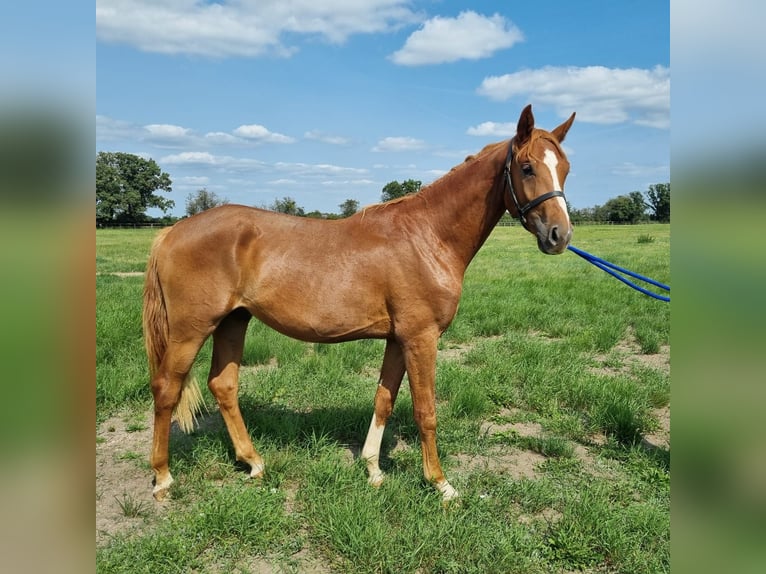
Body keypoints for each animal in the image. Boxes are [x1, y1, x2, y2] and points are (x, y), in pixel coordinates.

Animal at [144, 106, 576, 502]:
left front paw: (373, 469)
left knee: (224, 385)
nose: (560, 235)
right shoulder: (421, 338)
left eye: (566, 169)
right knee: (166, 388)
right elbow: (426, 412)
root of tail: (172, 231)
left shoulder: (398, 339)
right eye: (527, 168)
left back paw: (254, 463)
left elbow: (384, 400)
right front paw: (441, 484)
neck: (428, 236)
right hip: (190, 330)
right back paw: (163, 477)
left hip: (234, 321)